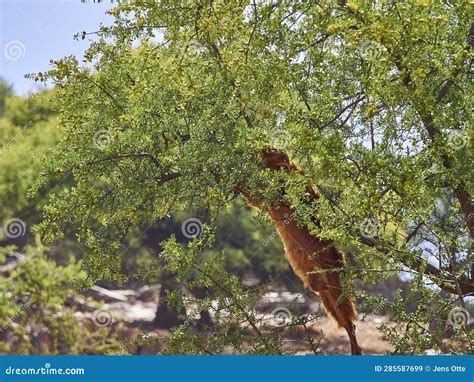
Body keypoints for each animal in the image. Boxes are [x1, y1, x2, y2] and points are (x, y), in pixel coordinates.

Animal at [237, 148, 362, 356]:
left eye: (270, 152)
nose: (258, 150)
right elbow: (256, 199)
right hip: (320, 287)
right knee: (336, 311)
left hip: (334, 277)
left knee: (349, 319)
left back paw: (355, 347)